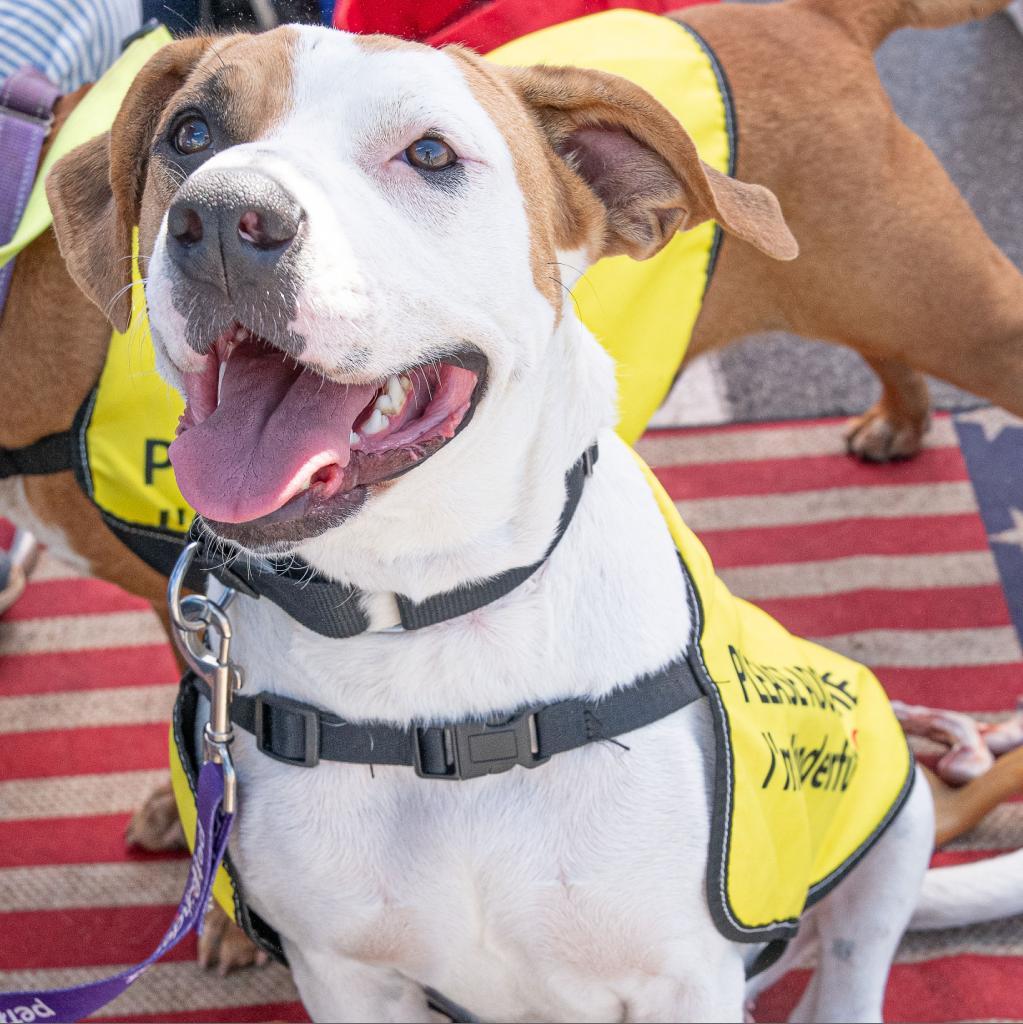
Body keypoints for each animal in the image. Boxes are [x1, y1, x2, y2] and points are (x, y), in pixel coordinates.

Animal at [44, 9, 1023, 1024]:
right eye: (190, 134)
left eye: (430, 153)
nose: (221, 220)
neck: (426, 627)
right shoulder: (344, 973)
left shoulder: (684, 978)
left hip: (890, 809)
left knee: (854, 964)